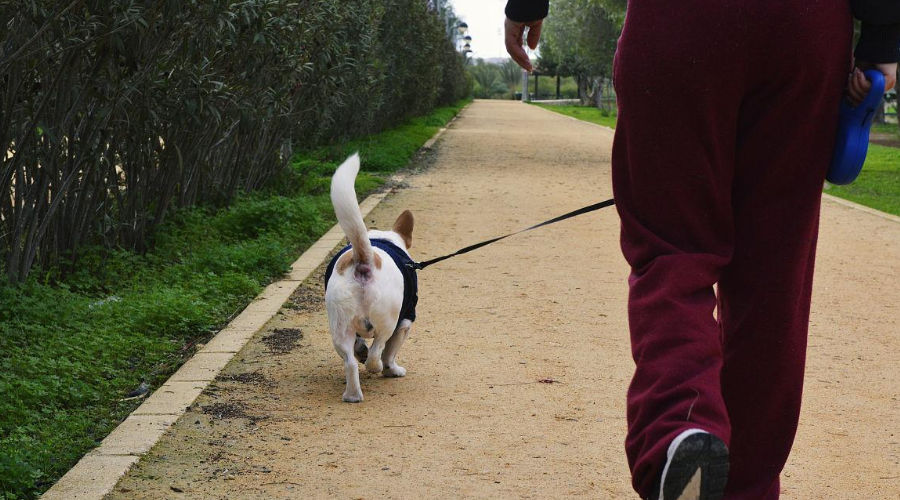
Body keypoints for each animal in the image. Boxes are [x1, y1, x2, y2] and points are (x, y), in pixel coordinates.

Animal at [324, 153, 418, 402]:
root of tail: (364, 259)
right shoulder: (405, 321)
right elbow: (390, 352)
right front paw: (392, 370)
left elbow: (360, 348)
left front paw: (362, 353)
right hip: (388, 322)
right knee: (377, 352)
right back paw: (377, 368)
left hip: (340, 327)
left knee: (350, 363)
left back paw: (352, 395)